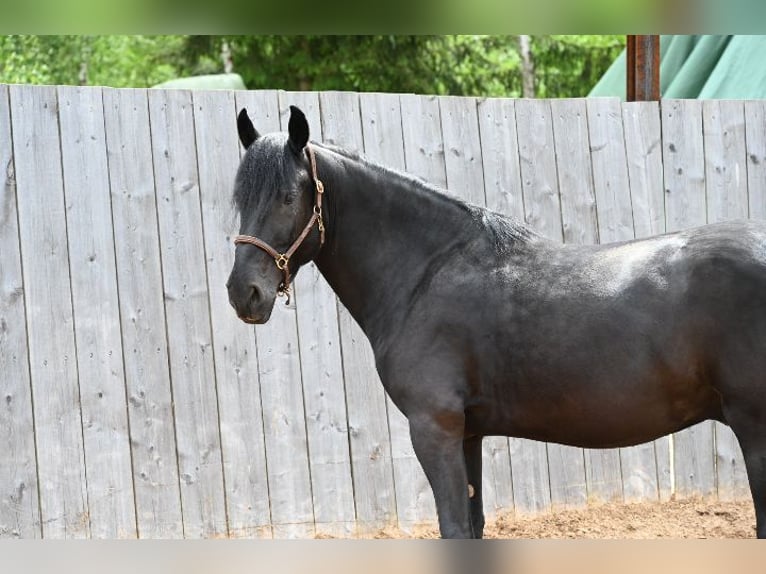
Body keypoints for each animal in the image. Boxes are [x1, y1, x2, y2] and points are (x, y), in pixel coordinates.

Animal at [226, 106, 766, 544]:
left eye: (288, 195)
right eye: (240, 198)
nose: (243, 292)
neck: (426, 270)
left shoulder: (434, 427)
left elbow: (454, 529)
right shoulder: (468, 433)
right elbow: (474, 525)